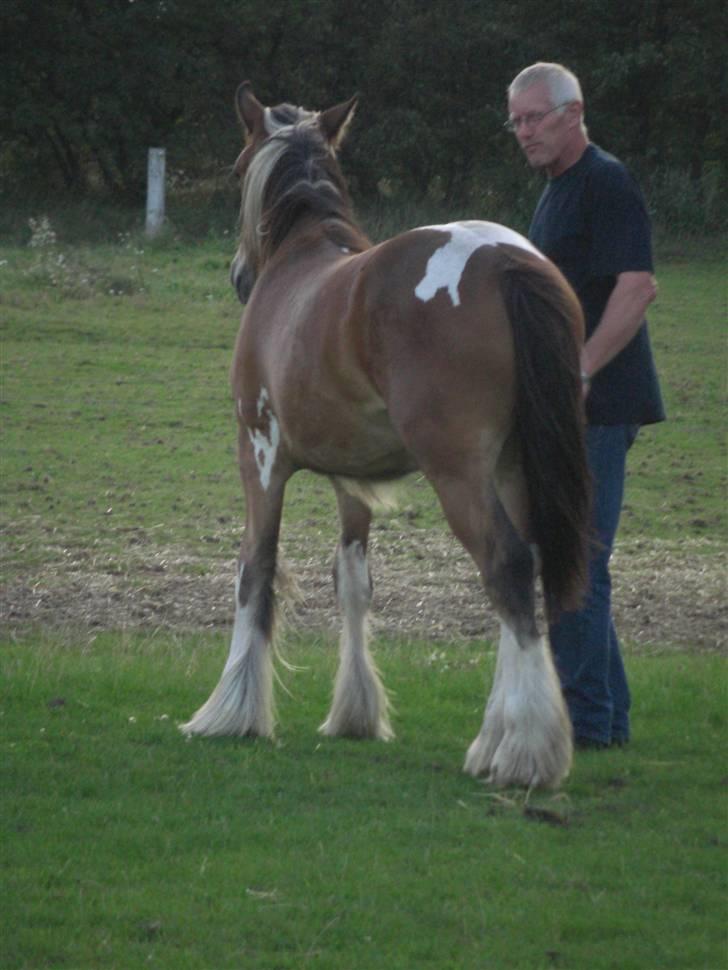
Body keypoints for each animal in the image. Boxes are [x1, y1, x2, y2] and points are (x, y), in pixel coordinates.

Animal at [181, 83, 592, 788]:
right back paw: (496, 740)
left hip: (459, 474)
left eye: (236, 170)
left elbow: (254, 570)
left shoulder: (258, 458)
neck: (302, 254)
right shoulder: (353, 481)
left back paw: (524, 749)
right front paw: (355, 713)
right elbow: (353, 583)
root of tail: (505, 258)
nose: (238, 275)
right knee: (528, 567)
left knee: (506, 566)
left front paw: (233, 711)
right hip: (512, 469)